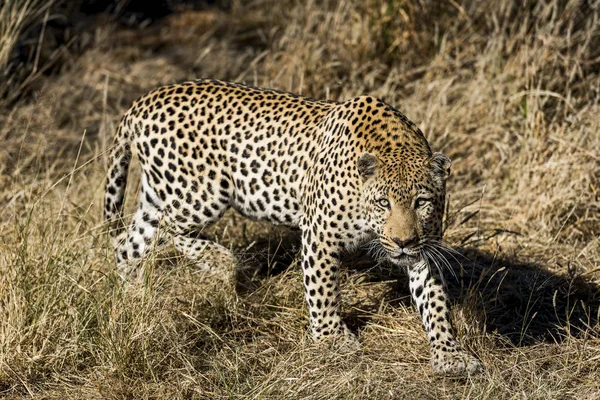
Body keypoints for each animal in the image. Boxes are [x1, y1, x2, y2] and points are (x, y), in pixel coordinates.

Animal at [104, 79, 482, 376]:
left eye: (421, 202)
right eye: (383, 203)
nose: (402, 241)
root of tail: (145, 99)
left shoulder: (425, 248)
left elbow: (434, 302)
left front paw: (451, 355)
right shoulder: (320, 235)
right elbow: (323, 290)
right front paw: (332, 339)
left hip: (161, 192)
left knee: (129, 242)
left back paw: (140, 297)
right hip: (199, 194)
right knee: (157, 232)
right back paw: (213, 265)